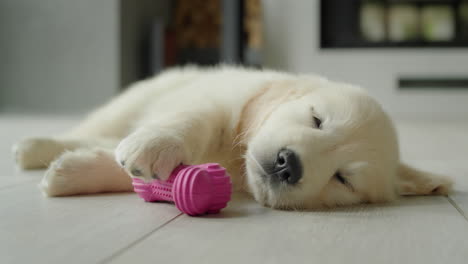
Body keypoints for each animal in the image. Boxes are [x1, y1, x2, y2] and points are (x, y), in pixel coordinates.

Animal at [13, 67, 454, 209]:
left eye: (343, 179)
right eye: (316, 120)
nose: (288, 164)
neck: (234, 158)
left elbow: (128, 170)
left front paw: (71, 174)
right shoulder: (219, 101)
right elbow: (193, 120)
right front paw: (156, 144)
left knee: (103, 137)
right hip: (136, 99)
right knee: (95, 128)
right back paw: (35, 146)